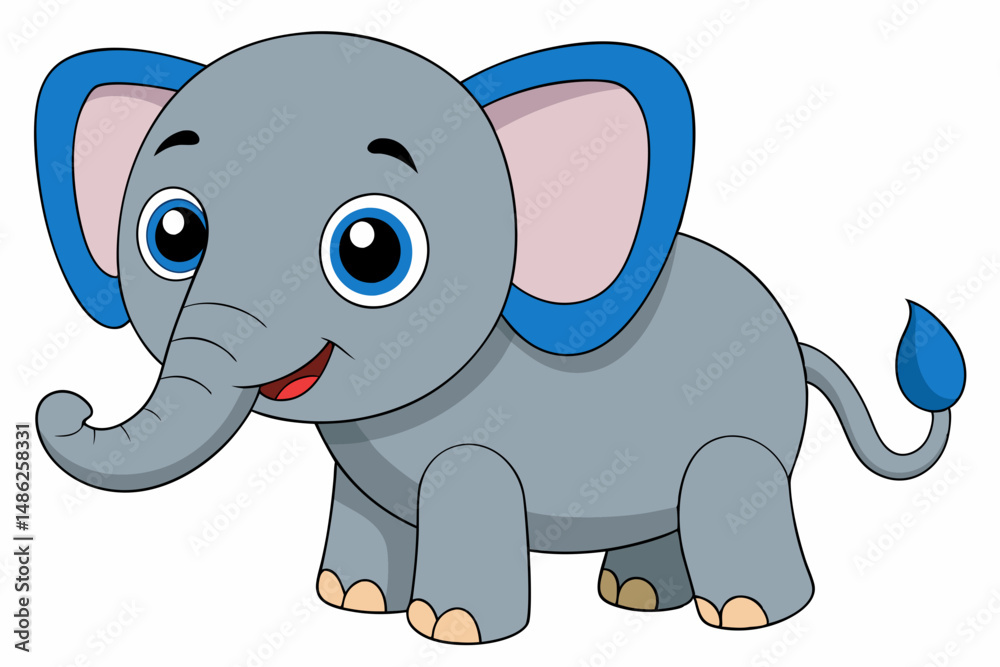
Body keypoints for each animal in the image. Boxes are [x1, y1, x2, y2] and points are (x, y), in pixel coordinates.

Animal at [33, 33, 967, 644]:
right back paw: (637, 596)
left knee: (729, 489)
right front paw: (349, 600)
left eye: (371, 250)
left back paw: (747, 616)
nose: (63, 404)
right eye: (173, 233)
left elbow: (468, 496)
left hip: (742, 435)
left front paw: (448, 626)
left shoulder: (475, 452)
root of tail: (797, 342)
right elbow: (365, 508)